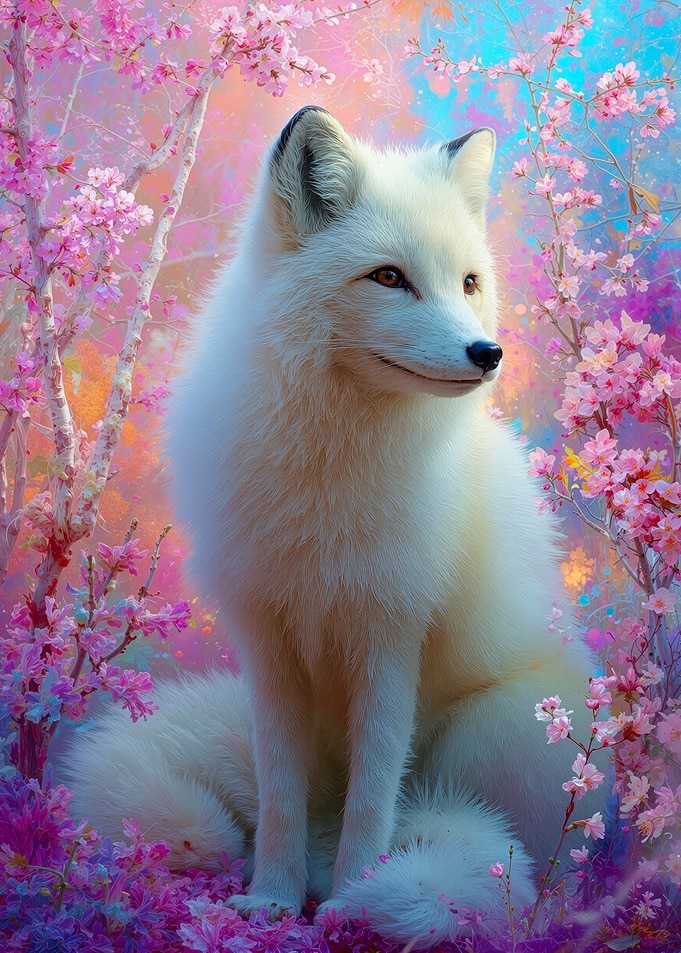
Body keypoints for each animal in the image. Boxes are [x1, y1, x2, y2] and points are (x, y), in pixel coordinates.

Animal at [64, 106, 605, 948]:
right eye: (387, 277)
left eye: (468, 282)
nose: (487, 352)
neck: (329, 465)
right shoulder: (267, 637)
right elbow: (279, 796)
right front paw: (273, 899)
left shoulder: (390, 634)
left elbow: (373, 800)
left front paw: (351, 896)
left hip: (494, 731)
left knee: (514, 867)